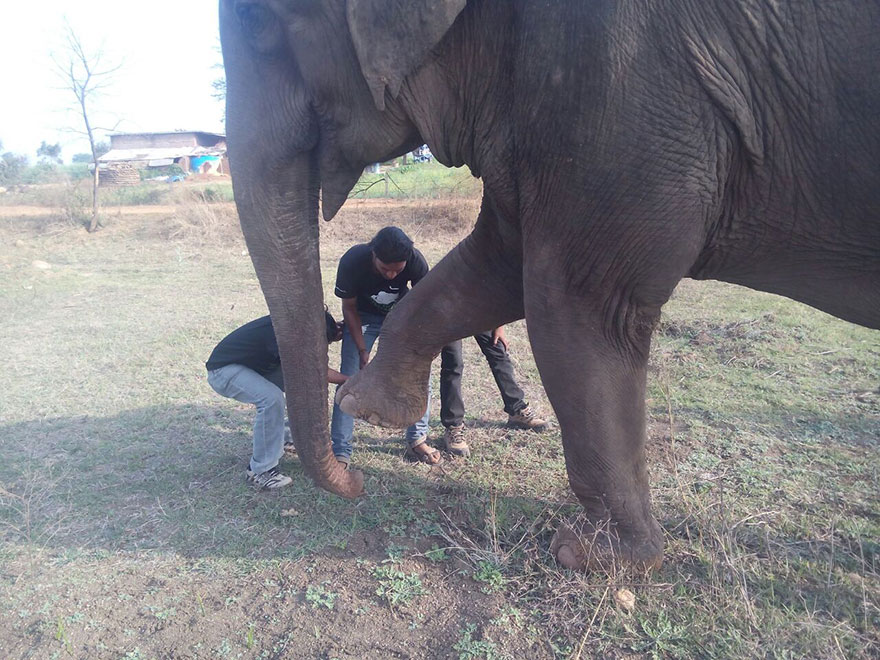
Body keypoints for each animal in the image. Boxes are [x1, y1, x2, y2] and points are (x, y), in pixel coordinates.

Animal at [219, 0, 880, 570]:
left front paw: (592, 557)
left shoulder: (617, 90)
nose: (355, 483)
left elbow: (575, 306)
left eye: (258, 23)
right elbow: (494, 265)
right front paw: (372, 406)